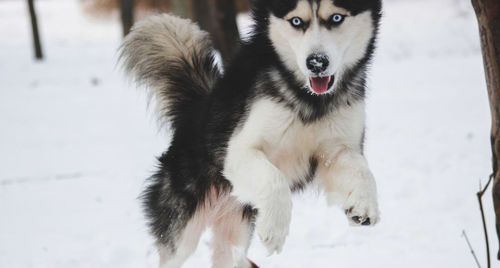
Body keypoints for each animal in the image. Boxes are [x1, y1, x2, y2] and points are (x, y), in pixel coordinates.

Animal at [120, 0, 382, 266]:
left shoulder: (335, 150)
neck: (309, 100)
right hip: (182, 232)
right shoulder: (240, 150)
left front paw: (364, 204)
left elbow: (362, 169)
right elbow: (274, 179)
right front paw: (275, 229)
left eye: (336, 18)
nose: (316, 63)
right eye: (296, 21)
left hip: (234, 237)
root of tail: (194, 110)